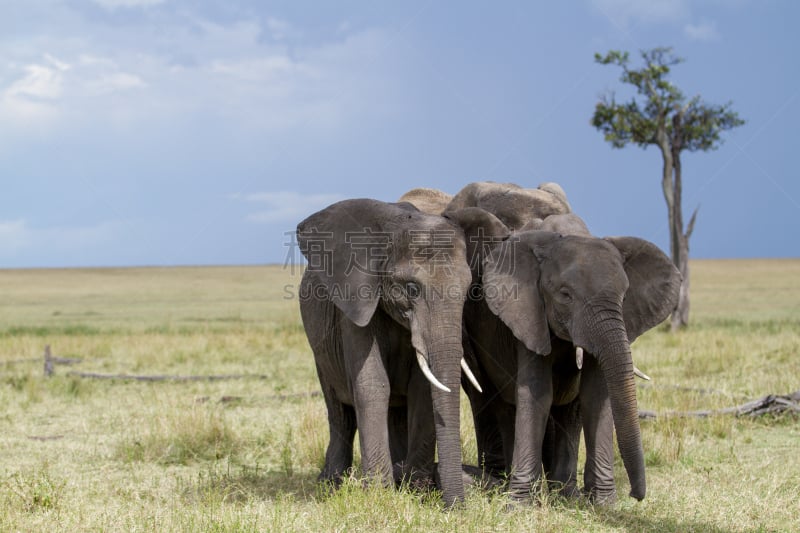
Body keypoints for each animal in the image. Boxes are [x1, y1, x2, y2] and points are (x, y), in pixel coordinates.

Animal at [296, 197, 488, 504]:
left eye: (469, 289)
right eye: (411, 288)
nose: (459, 508)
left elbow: (422, 388)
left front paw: (418, 492)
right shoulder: (355, 301)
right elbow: (373, 384)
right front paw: (378, 494)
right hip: (320, 350)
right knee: (339, 412)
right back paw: (331, 483)